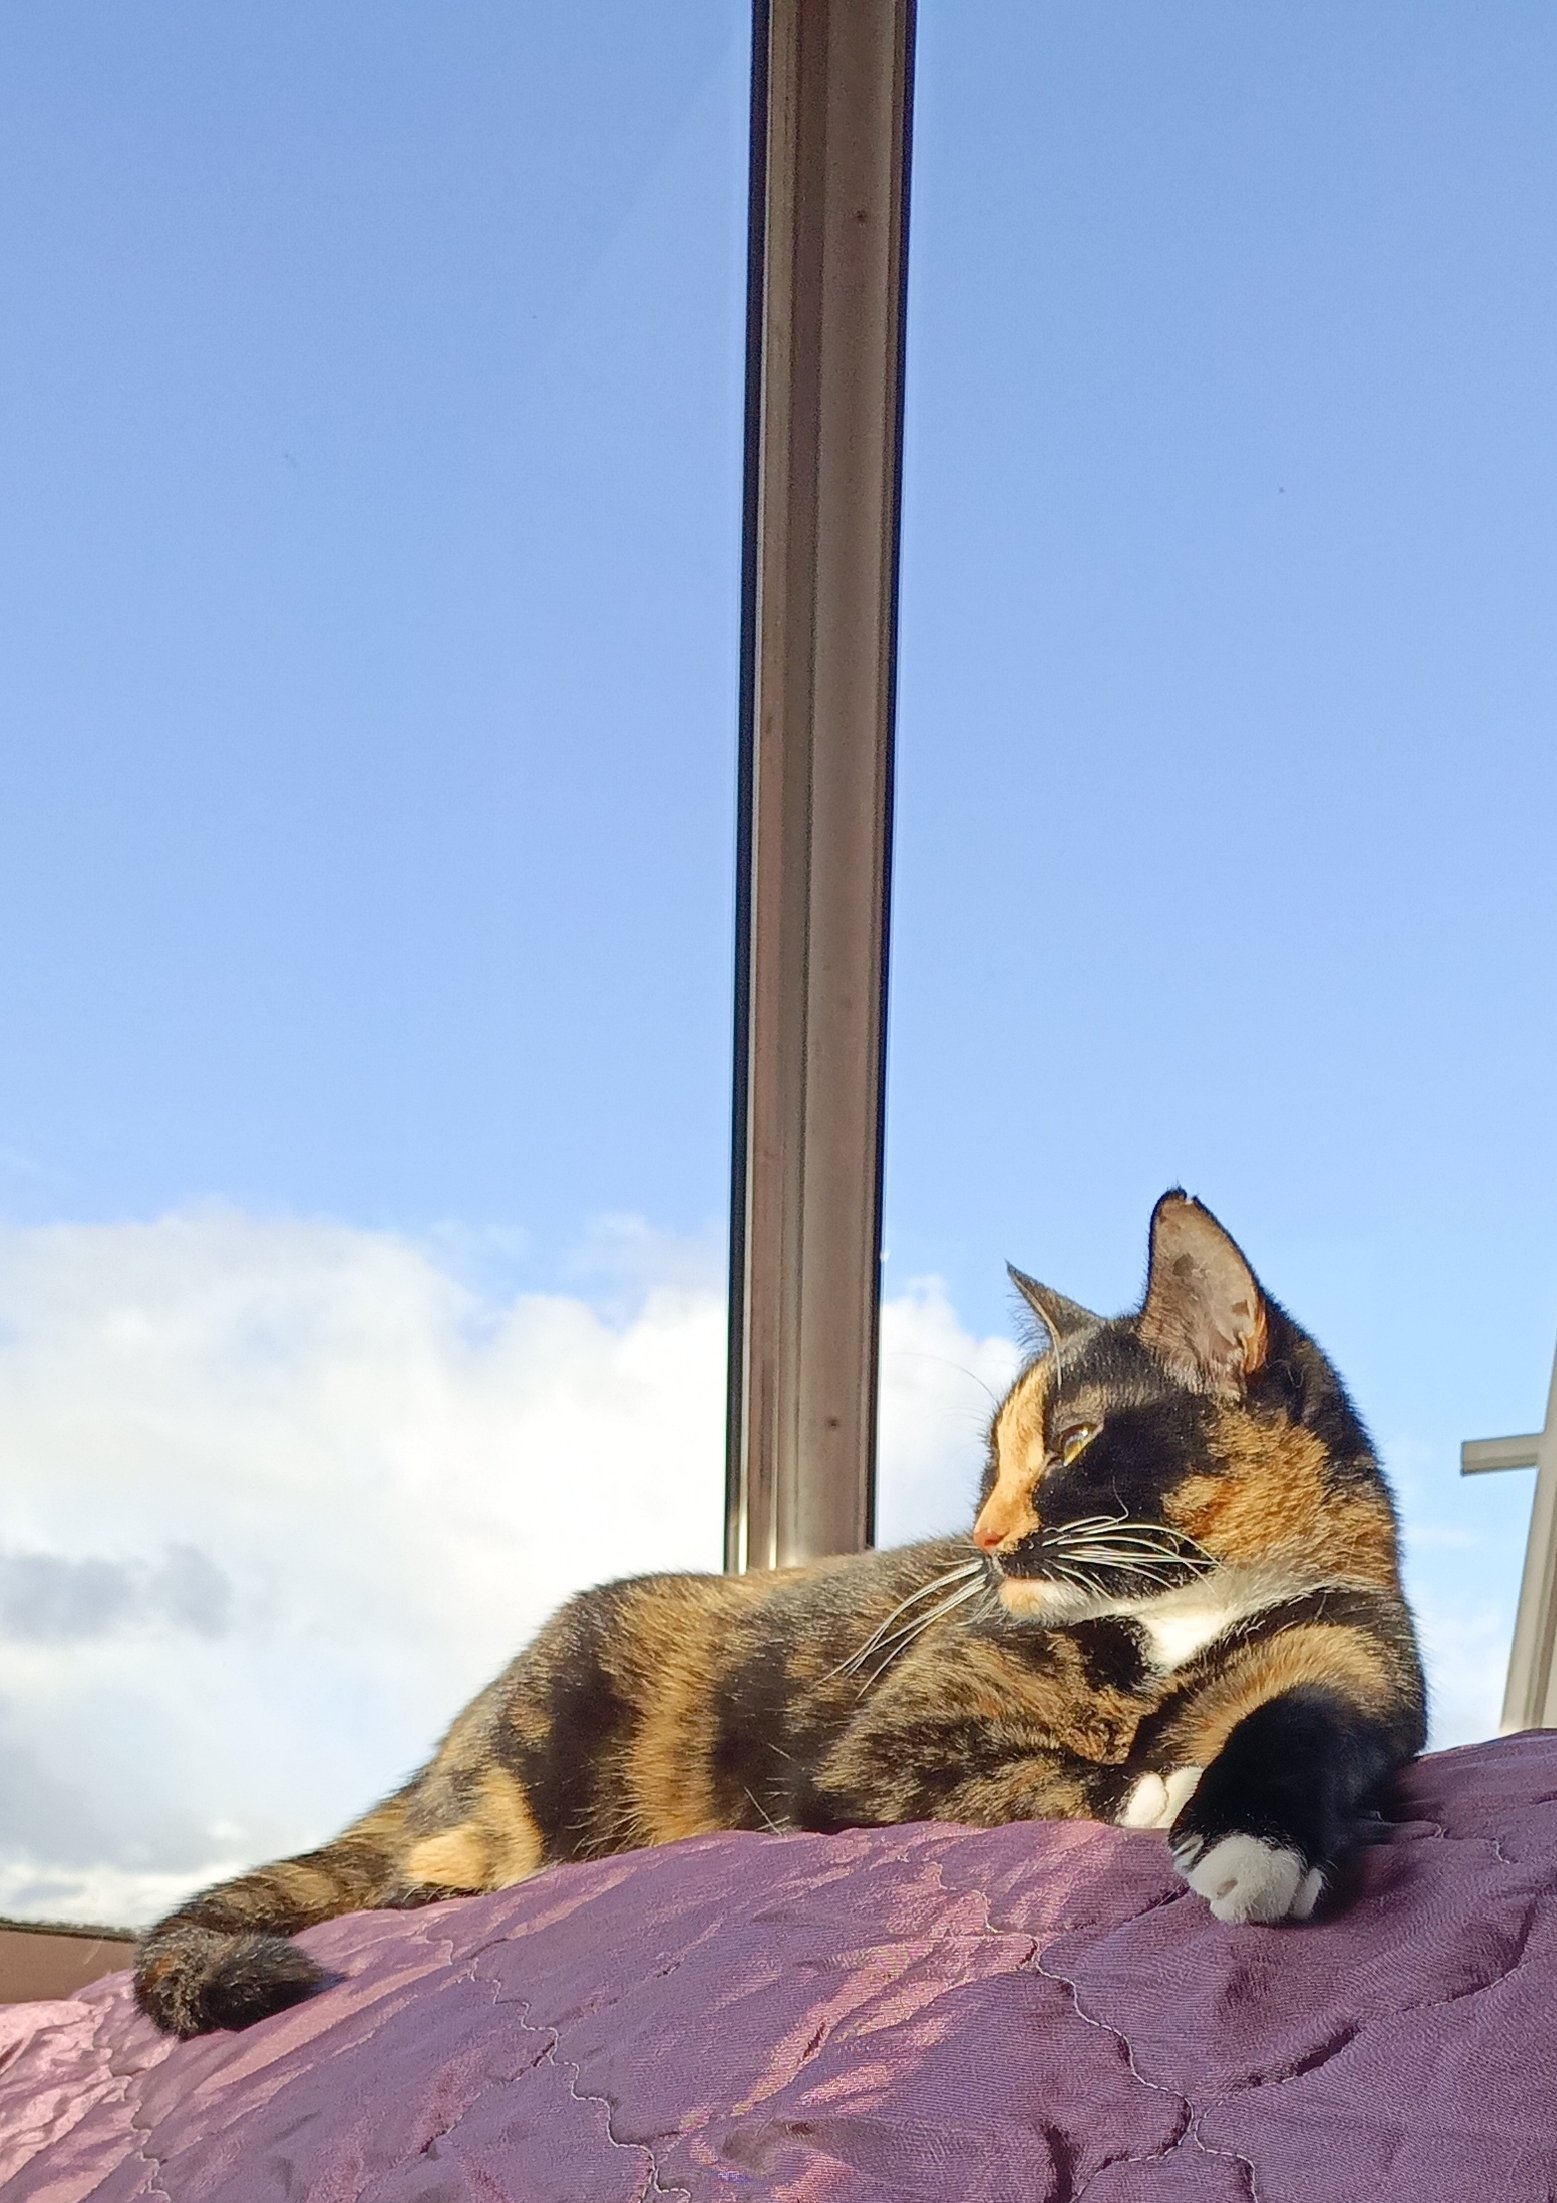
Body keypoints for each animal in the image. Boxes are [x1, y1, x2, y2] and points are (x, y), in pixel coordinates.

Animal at [135, 1190, 1426, 2037]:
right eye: (988, 1459)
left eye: (1068, 1443)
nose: (983, 1536)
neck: (1182, 1616)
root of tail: (453, 1738)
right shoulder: (876, 1761)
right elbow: (1036, 1782)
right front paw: (1168, 1792)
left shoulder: (1354, 1653)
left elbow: (1310, 1722)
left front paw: (1257, 1832)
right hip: (533, 1748)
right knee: (427, 1856)